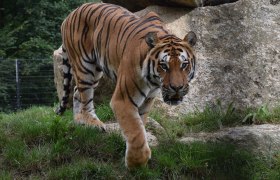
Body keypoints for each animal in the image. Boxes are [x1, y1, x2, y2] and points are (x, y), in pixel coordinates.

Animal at [55, 2, 197, 169]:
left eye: (184, 64)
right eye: (164, 65)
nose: (177, 87)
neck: (153, 81)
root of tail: (70, 14)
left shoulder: (147, 100)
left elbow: (139, 125)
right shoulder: (123, 100)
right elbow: (135, 130)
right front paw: (137, 164)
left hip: (94, 72)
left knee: (77, 92)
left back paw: (79, 121)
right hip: (86, 67)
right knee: (85, 95)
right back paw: (93, 123)